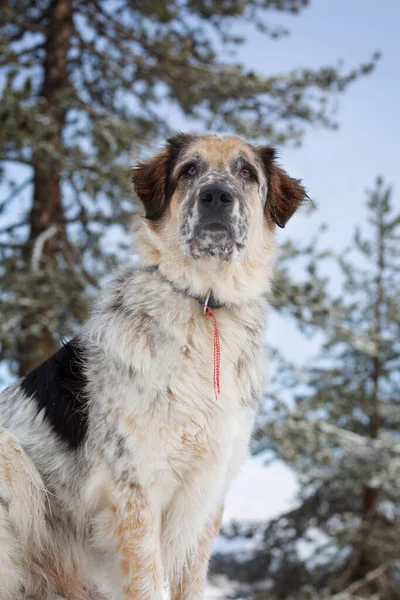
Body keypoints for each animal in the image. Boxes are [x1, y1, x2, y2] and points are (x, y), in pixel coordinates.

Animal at [0, 134, 304, 596]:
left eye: (246, 172)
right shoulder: (134, 491)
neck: (205, 305)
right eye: (190, 170)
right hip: (12, 459)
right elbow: (145, 580)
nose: (217, 195)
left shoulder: (207, 493)